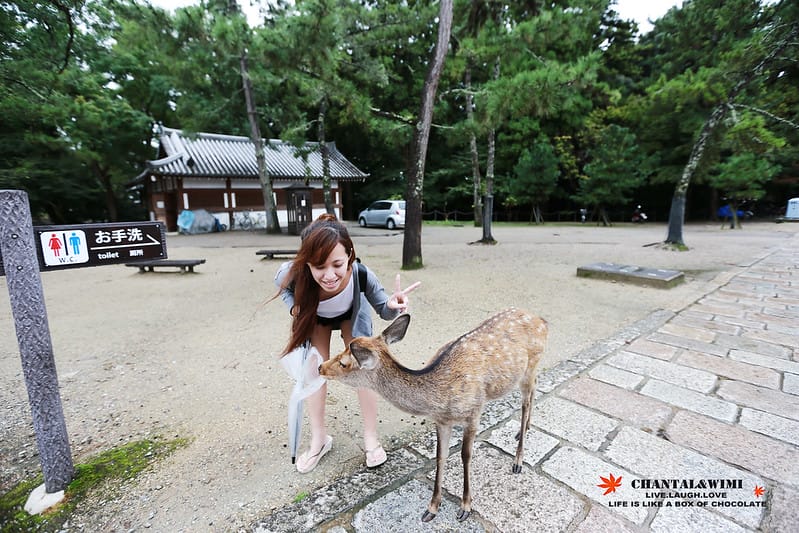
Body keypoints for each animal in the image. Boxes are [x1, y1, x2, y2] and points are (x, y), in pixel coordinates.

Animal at [319, 307, 546, 522]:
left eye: (344, 362)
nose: (321, 367)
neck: (439, 398)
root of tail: (542, 320)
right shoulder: (441, 421)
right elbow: (440, 456)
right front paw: (432, 507)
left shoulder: (474, 411)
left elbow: (465, 455)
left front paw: (465, 507)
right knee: (534, 389)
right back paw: (524, 430)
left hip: (531, 365)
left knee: (526, 401)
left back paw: (518, 460)